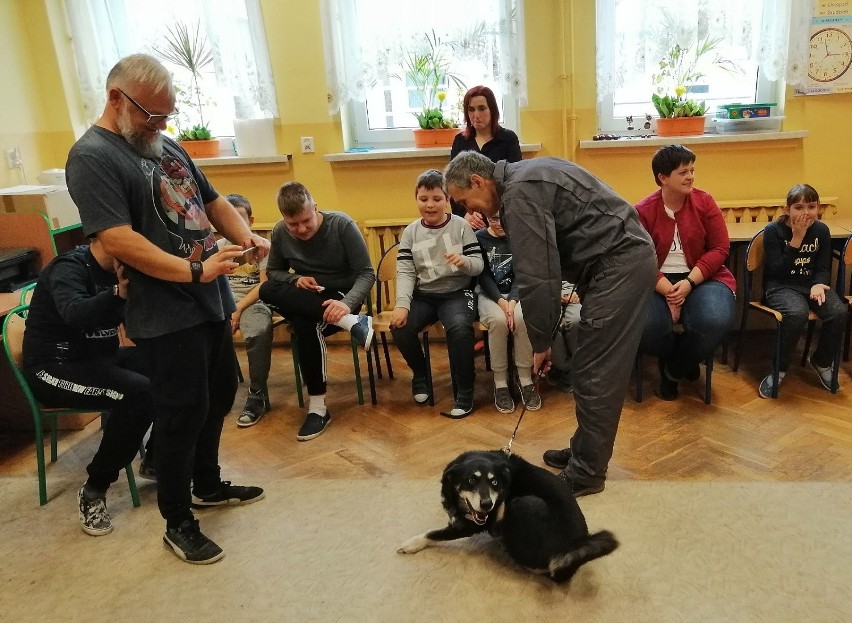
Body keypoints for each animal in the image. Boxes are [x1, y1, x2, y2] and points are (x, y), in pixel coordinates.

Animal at [396, 450, 616, 584]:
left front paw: (411, 543)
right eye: (470, 480)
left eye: (494, 483)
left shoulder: (470, 526)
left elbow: (433, 533)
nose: (487, 505)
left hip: (523, 504)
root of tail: (568, 563)